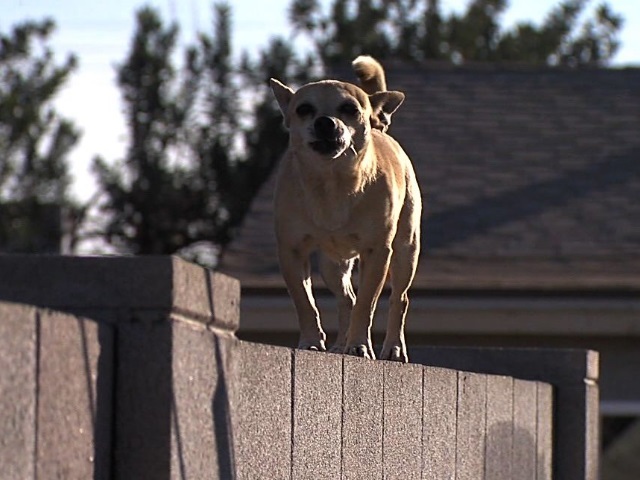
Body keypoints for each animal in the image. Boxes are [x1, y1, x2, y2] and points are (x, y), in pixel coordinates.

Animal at [268, 55, 420, 360]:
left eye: (350, 109)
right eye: (303, 110)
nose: (325, 122)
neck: (331, 182)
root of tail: (380, 125)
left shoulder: (377, 252)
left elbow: (367, 303)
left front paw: (360, 345)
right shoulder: (291, 251)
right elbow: (304, 301)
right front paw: (311, 341)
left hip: (405, 249)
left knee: (399, 298)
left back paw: (393, 347)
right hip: (332, 265)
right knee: (346, 298)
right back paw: (341, 344)